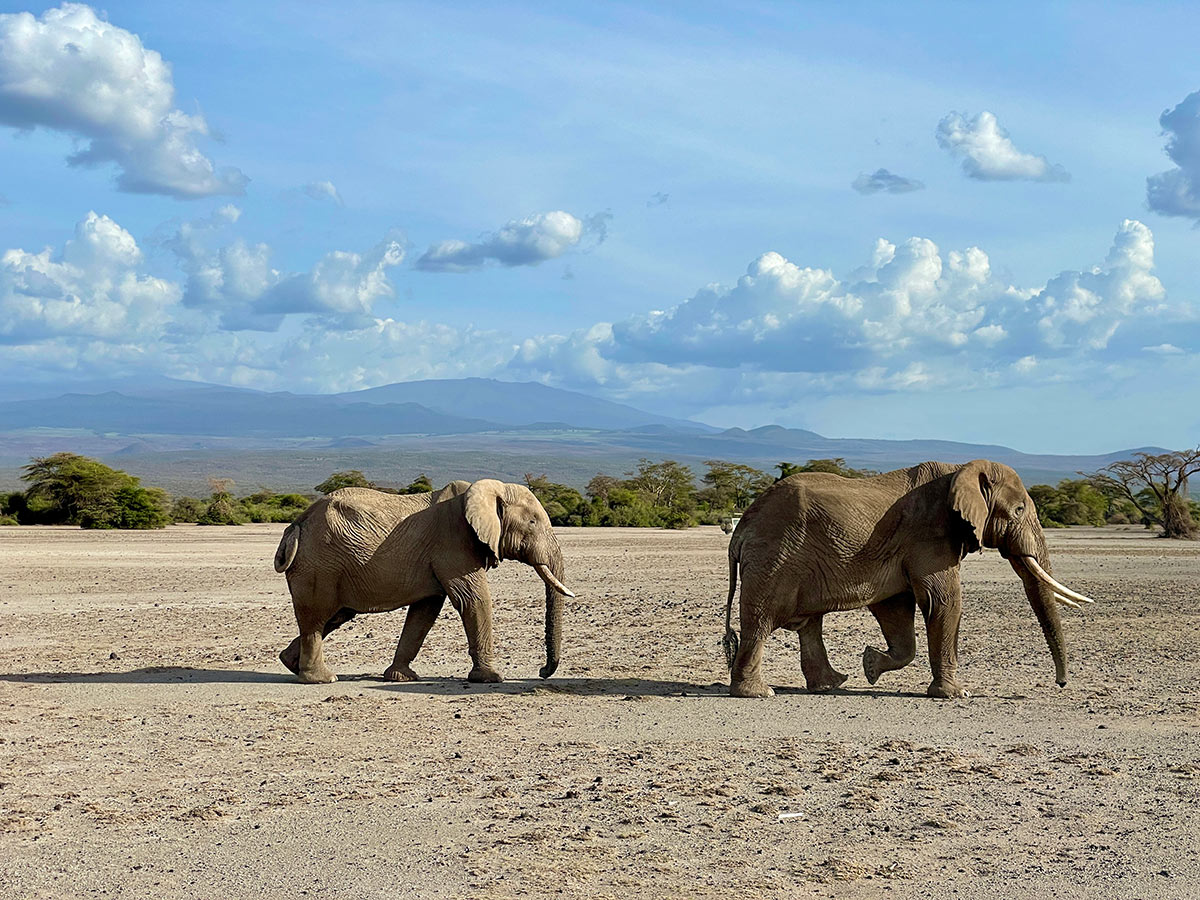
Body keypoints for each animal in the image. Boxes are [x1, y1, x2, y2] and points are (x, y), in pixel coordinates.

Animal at [273, 479, 574, 684]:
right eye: (532, 523)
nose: (542, 672)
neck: (484, 489)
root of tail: (295, 525)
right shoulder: (454, 544)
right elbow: (473, 600)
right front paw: (491, 678)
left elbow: (425, 612)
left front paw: (401, 677)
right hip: (320, 565)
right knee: (317, 618)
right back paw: (322, 679)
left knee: (335, 616)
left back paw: (290, 663)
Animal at [722, 459, 1094, 699]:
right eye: (1018, 511)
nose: (1061, 684)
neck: (961, 470)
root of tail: (740, 530)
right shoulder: (930, 537)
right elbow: (944, 602)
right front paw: (956, 694)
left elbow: (895, 609)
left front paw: (870, 666)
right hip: (774, 558)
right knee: (761, 621)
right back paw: (758, 693)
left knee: (808, 625)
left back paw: (831, 684)